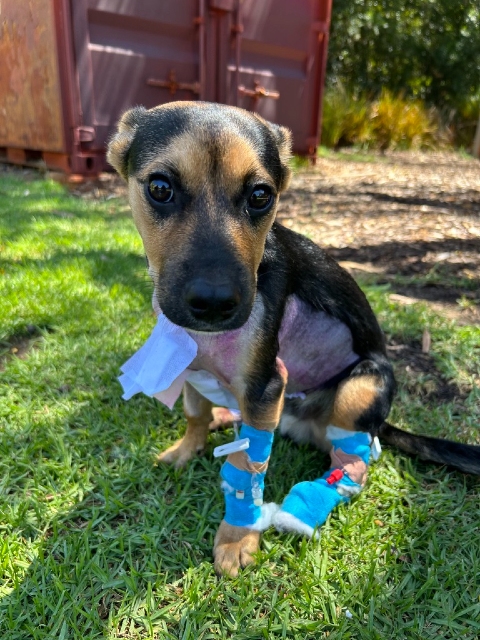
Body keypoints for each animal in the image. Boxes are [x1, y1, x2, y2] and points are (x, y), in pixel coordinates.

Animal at [108, 102, 480, 576]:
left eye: (260, 196)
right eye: (159, 188)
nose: (214, 303)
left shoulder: (266, 384)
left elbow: (245, 465)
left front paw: (237, 537)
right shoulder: (190, 362)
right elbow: (194, 413)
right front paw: (187, 448)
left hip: (360, 388)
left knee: (353, 464)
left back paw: (307, 502)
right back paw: (225, 416)